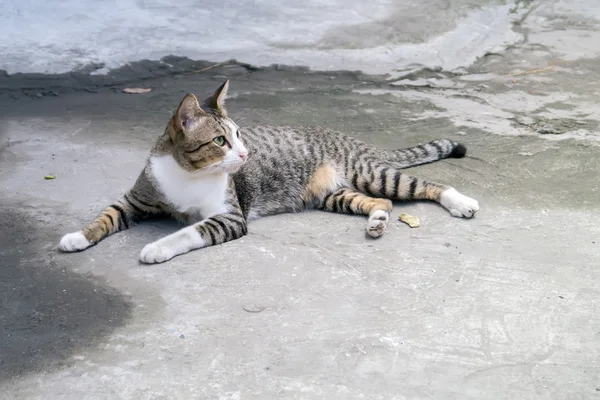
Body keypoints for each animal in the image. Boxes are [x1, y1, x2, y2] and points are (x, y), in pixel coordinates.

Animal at [58, 79, 480, 264]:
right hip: (333, 194)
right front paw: (78, 236)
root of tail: (343, 134)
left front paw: (157, 247)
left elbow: (188, 231)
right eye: (220, 141)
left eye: (239, 135)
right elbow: (105, 216)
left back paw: (462, 203)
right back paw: (376, 221)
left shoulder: (229, 217)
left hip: (371, 173)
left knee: (428, 185)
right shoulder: (135, 199)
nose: (245, 154)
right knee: (380, 203)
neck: (188, 174)